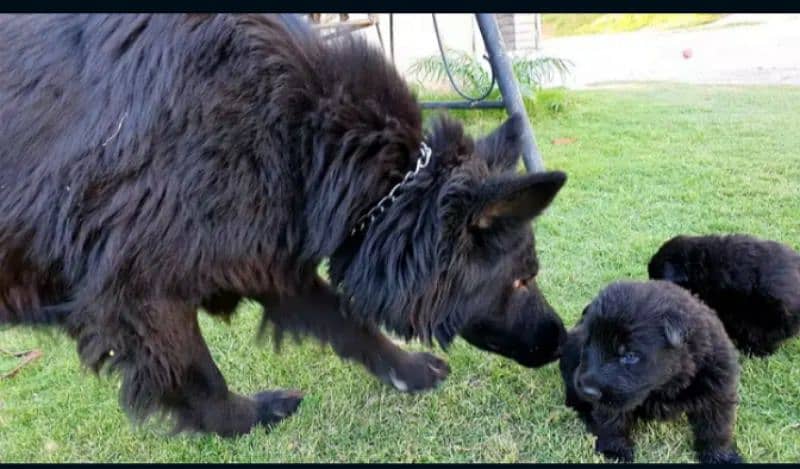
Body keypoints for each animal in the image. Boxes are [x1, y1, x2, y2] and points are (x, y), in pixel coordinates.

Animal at [0, 13, 568, 436]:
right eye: (522, 280)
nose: (564, 340)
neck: (306, 131)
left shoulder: (260, 253)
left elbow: (348, 321)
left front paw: (407, 369)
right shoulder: (138, 291)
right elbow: (198, 375)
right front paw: (244, 419)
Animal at [560, 280, 740, 462]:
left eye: (630, 355)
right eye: (588, 344)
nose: (588, 391)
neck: (667, 384)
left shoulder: (717, 390)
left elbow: (716, 427)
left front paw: (721, 456)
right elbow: (611, 420)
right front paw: (615, 450)